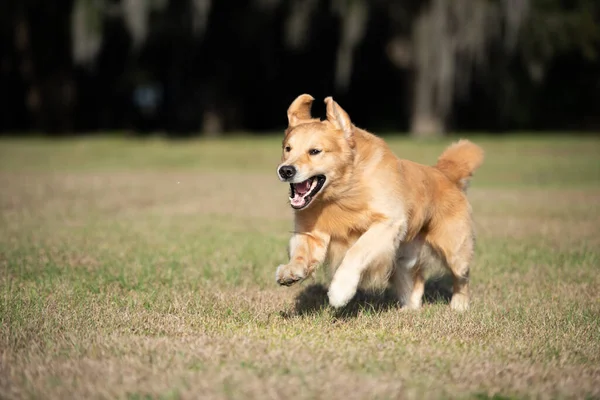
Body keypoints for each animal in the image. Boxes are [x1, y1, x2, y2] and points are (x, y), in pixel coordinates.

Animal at [274, 94, 486, 312]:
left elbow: (356, 250)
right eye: (287, 149)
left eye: (315, 151)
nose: (285, 170)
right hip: (402, 260)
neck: (343, 190)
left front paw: (340, 291)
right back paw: (409, 309)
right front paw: (290, 271)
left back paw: (459, 305)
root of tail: (444, 173)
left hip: (455, 250)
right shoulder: (311, 232)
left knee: (462, 277)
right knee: (416, 280)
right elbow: (300, 252)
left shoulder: (388, 223)